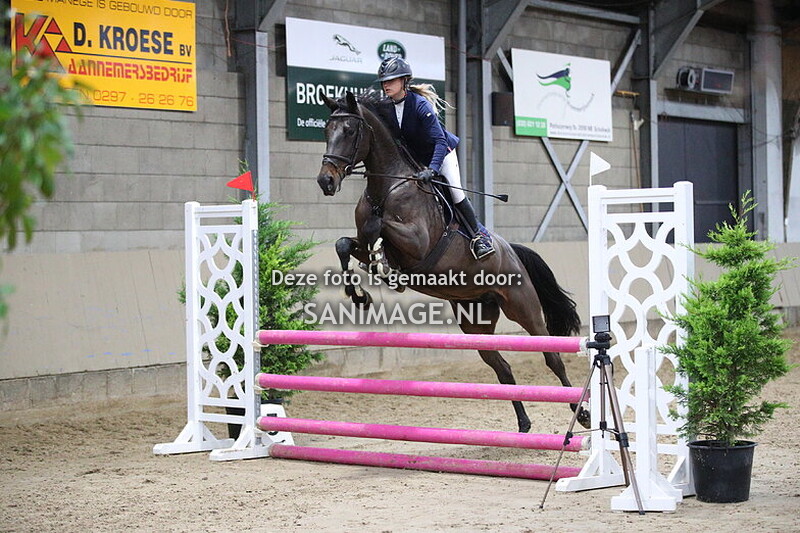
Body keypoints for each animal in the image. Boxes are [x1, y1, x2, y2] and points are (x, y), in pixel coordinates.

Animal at [315, 91, 589, 432]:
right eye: (326, 130)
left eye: (350, 131)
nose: (325, 181)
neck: (387, 187)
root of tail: (511, 250)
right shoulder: (362, 244)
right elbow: (345, 244)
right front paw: (360, 293)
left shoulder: (417, 244)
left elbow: (377, 227)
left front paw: (382, 269)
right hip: (475, 321)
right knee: (502, 367)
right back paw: (524, 423)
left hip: (523, 307)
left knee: (552, 357)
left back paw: (582, 412)